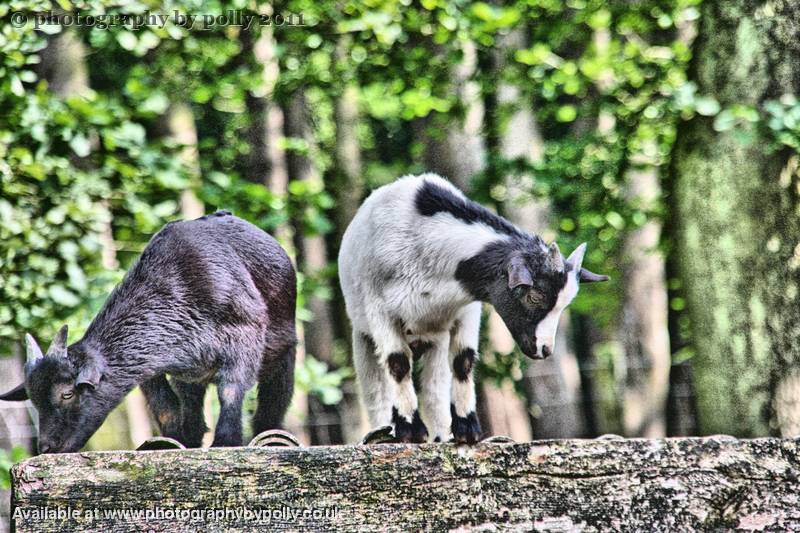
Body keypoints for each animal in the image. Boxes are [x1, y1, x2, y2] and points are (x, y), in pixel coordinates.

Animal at [338, 174, 608, 440]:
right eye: (534, 297)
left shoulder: (466, 310)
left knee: (434, 389)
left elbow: (463, 361)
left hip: (434, 340)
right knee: (376, 388)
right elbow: (398, 363)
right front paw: (410, 430)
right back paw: (382, 432)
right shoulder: (382, 311)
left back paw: (440, 435)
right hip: (363, 335)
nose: (544, 350)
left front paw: (467, 429)